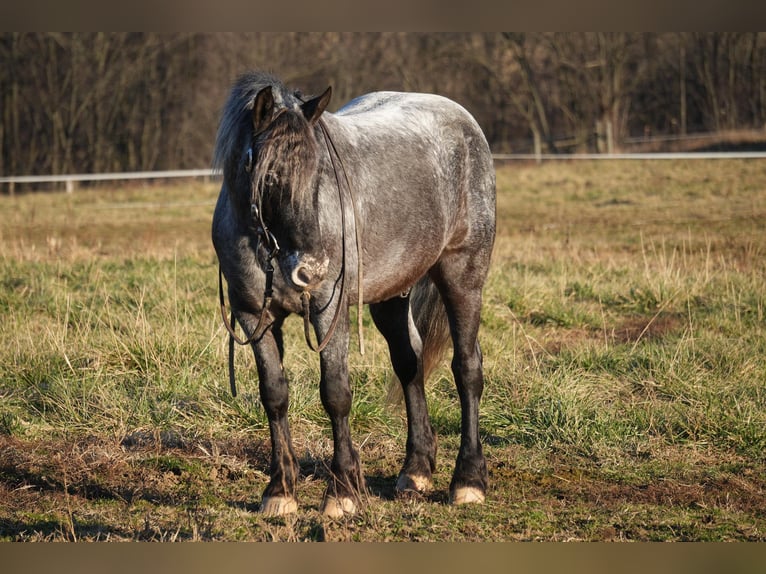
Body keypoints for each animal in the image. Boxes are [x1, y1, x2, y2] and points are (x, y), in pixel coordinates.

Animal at [213, 71, 498, 516]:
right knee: (410, 364)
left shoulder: (328, 313)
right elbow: (274, 394)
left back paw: (468, 481)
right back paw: (415, 471)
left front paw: (342, 491)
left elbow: (335, 394)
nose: (312, 269)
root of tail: (463, 121)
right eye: (269, 177)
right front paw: (280, 491)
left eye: (319, 174)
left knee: (467, 369)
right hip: (391, 297)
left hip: (463, 278)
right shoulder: (253, 316)